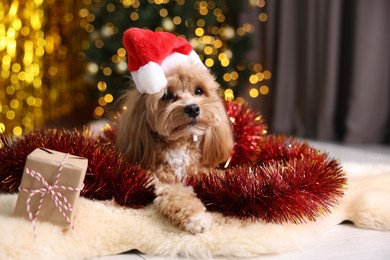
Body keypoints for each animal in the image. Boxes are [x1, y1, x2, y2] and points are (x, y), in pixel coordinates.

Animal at [114, 61, 233, 234]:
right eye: (166, 95)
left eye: (198, 91)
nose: (193, 108)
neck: (180, 144)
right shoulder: (161, 181)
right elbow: (178, 194)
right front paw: (197, 218)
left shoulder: (201, 170)